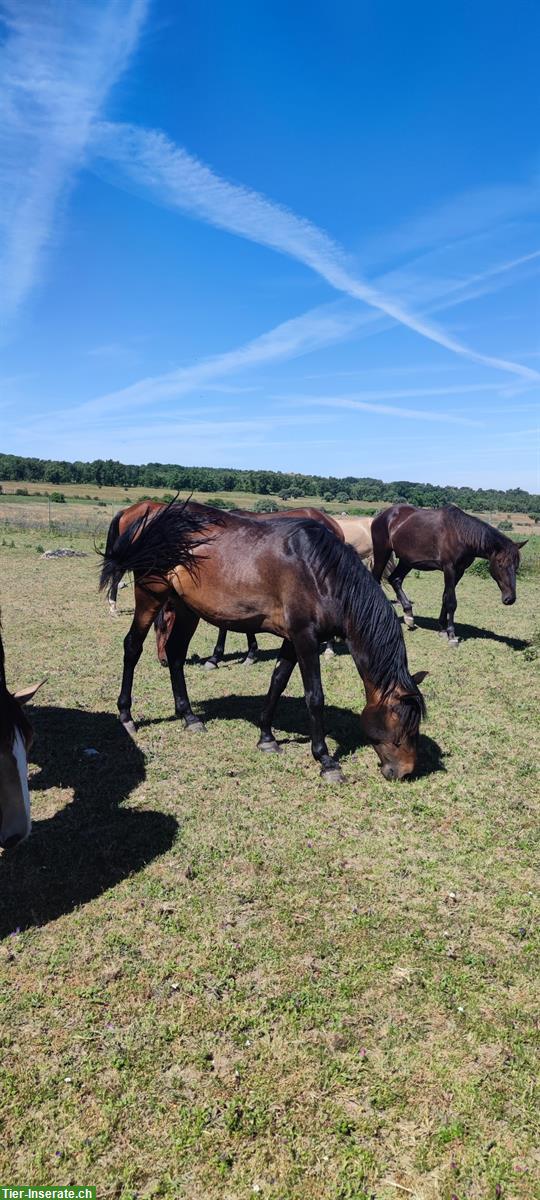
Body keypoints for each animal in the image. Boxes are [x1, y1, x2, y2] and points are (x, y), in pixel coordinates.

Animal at [99, 501, 424, 782]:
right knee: (132, 647)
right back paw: (126, 715)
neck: (321, 572)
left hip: (185, 607)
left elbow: (277, 682)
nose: (405, 771)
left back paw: (189, 716)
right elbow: (314, 697)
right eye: (401, 727)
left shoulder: (293, 640)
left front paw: (266, 738)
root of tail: (147, 513)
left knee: (176, 655)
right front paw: (325, 760)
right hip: (150, 593)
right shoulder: (305, 638)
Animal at [369, 499, 525, 643]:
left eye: (516, 566)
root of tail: (381, 516)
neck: (460, 534)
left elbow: (445, 597)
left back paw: (409, 616)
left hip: (407, 561)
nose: (510, 599)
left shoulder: (459, 571)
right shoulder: (449, 569)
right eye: (500, 564)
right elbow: (451, 602)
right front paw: (451, 634)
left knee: (395, 579)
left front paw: (442, 628)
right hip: (382, 552)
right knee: (376, 578)